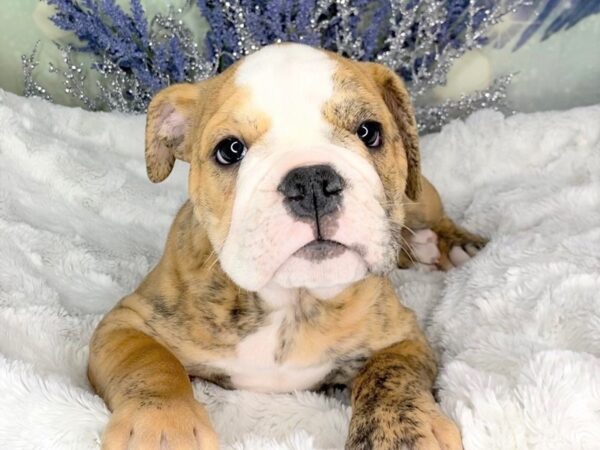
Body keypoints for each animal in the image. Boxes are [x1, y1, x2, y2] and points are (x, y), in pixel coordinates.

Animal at [89, 43, 486, 450]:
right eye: (229, 150)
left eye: (368, 131)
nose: (312, 182)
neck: (292, 301)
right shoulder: (126, 324)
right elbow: (149, 363)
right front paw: (163, 424)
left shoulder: (403, 336)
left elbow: (390, 374)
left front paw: (399, 434)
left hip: (421, 195)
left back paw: (452, 245)